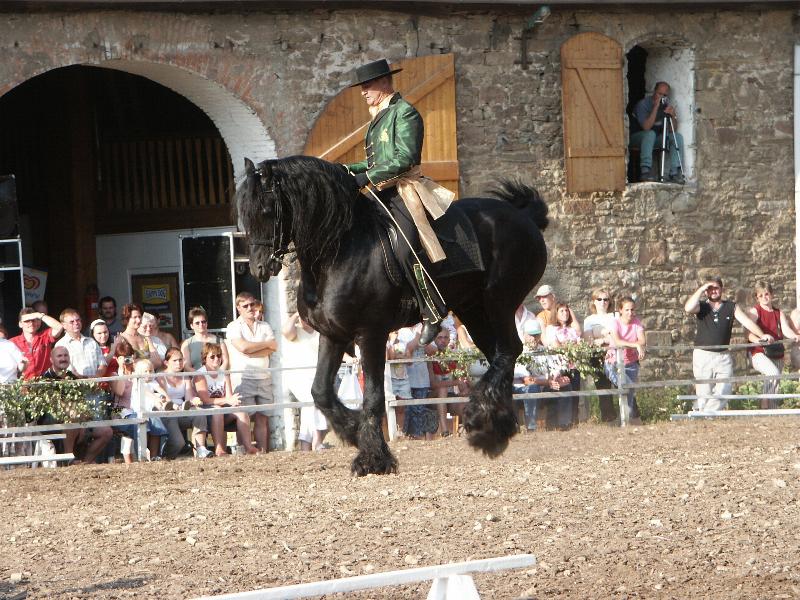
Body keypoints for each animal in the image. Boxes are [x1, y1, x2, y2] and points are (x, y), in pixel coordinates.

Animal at [238, 157, 548, 476]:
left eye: (266, 210)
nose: (259, 268)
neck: (341, 251)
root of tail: (522, 217)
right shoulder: (333, 335)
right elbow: (320, 391)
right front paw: (353, 431)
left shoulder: (370, 334)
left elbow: (373, 397)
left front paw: (373, 457)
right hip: (473, 309)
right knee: (500, 355)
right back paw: (493, 429)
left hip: (499, 301)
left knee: (509, 350)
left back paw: (480, 420)